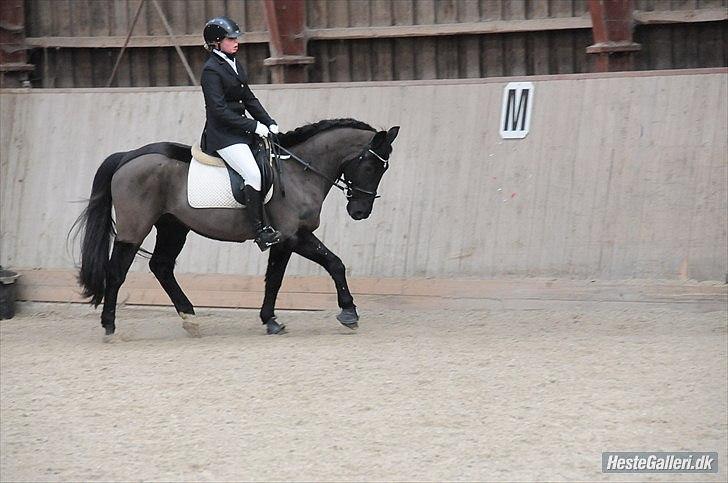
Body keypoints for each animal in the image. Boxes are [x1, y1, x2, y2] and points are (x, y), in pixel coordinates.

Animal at [75, 120, 398, 340]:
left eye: (383, 169)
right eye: (371, 166)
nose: (360, 212)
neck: (299, 173)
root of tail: (129, 156)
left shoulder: (284, 241)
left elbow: (274, 280)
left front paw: (270, 320)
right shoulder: (295, 236)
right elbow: (335, 263)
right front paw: (349, 312)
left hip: (173, 226)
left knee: (162, 266)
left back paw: (190, 318)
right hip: (134, 228)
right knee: (117, 271)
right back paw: (110, 326)